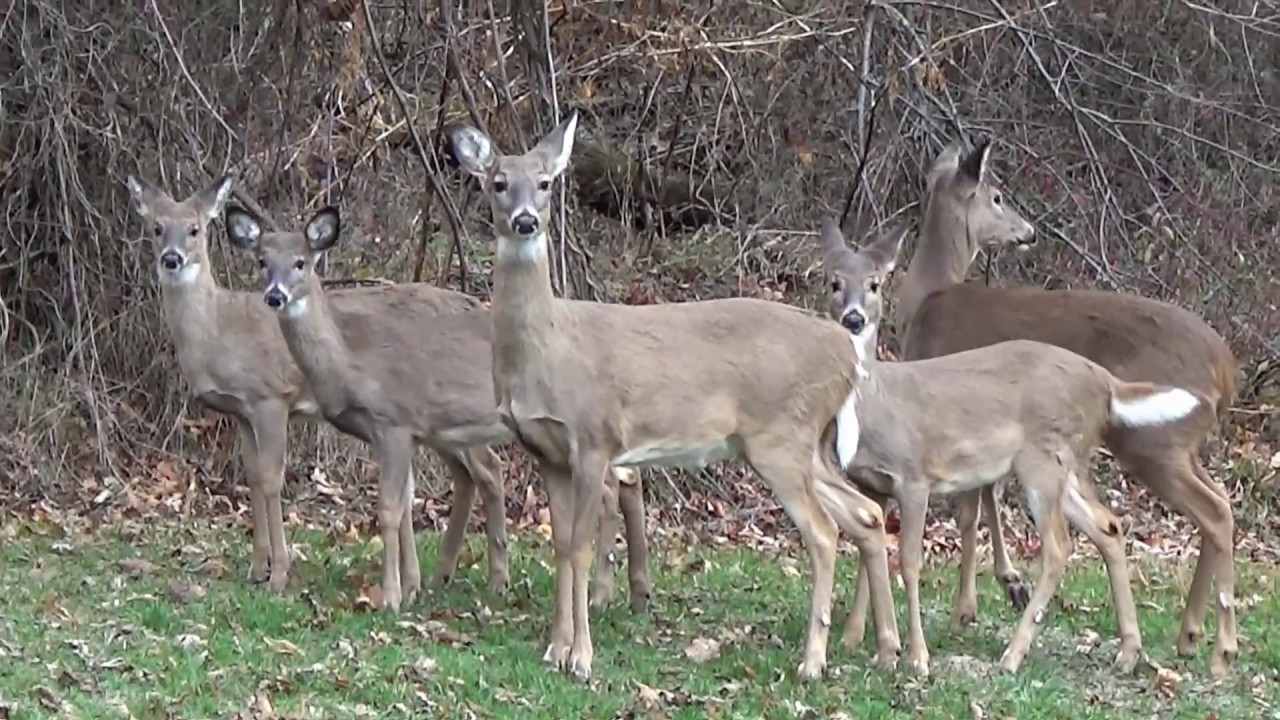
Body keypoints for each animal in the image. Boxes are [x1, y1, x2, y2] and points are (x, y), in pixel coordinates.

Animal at [124, 175, 646, 610]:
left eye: (194, 229)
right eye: (155, 227)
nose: (171, 259)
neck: (219, 332)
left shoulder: (270, 399)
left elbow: (273, 482)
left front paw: (280, 574)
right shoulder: (241, 413)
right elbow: (255, 479)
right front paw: (258, 567)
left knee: (562, 479)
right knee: (544, 476)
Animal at [447, 113, 903, 683]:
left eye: (547, 183)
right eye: (498, 183)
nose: (526, 221)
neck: (547, 350)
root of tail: (848, 356)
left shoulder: (594, 437)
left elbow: (582, 547)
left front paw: (582, 658)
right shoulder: (545, 450)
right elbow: (561, 545)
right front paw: (555, 648)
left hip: (782, 434)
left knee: (822, 532)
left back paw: (812, 661)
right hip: (808, 444)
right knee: (865, 513)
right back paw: (887, 650)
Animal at [859, 140, 1240, 678]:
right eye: (998, 196)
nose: (1028, 231)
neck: (928, 299)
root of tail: (1228, 370)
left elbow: (973, 509)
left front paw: (972, 604)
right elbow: (986, 497)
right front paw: (995, 590)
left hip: (1154, 442)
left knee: (1214, 511)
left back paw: (1219, 648)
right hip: (1179, 443)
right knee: (1218, 503)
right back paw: (1187, 635)